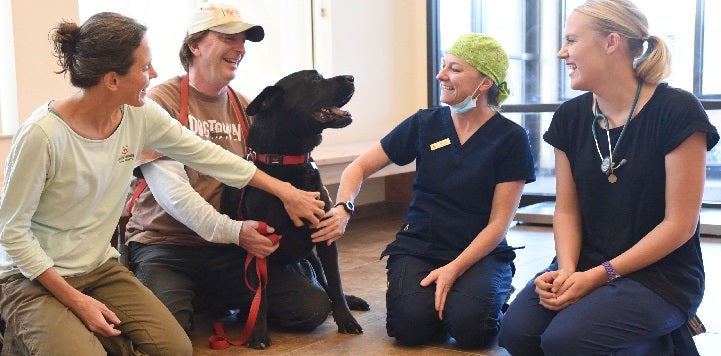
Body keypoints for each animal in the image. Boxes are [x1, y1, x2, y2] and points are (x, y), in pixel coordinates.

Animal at [221, 71, 366, 350]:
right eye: (314, 79)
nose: (352, 77)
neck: (287, 162)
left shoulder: (325, 236)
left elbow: (336, 283)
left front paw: (346, 319)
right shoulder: (257, 243)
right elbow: (259, 296)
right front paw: (258, 333)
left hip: (314, 258)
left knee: (327, 286)